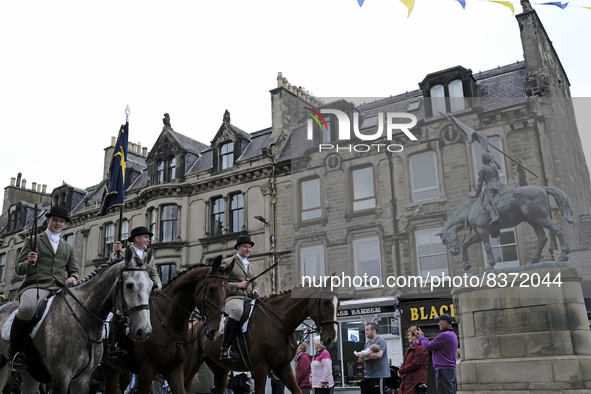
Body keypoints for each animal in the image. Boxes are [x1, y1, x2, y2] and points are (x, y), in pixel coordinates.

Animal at [0, 246, 154, 394]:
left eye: (151, 285)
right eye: (129, 285)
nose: (144, 331)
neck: (85, 321)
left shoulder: (82, 378)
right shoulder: (61, 375)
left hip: (31, 373)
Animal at [100, 255, 232, 394]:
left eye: (229, 291)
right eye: (211, 289)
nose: (216, 331)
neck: (169, 322)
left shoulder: (174, 370)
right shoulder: (146, 371)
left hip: (114, 370)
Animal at [194, 284, 340, 394]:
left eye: (338, 304)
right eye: (326, 302)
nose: (331, 338)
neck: (277, 321)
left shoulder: (283, 367)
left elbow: (297, 390)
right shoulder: (260, 367)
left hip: (220, 370)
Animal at [440, 186, 572, 270]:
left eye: (444, 240)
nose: (453, 252)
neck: (470, 210)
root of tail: (543, 188)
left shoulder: (482, 231)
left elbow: (487, 246)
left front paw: (490, 265)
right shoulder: (480, 232)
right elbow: (466, 244)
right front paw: (466, 264)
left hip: (540, 217)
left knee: (557, 229)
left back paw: (563, 255)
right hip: (533, 220)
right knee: (542, 238)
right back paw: (532, 261)